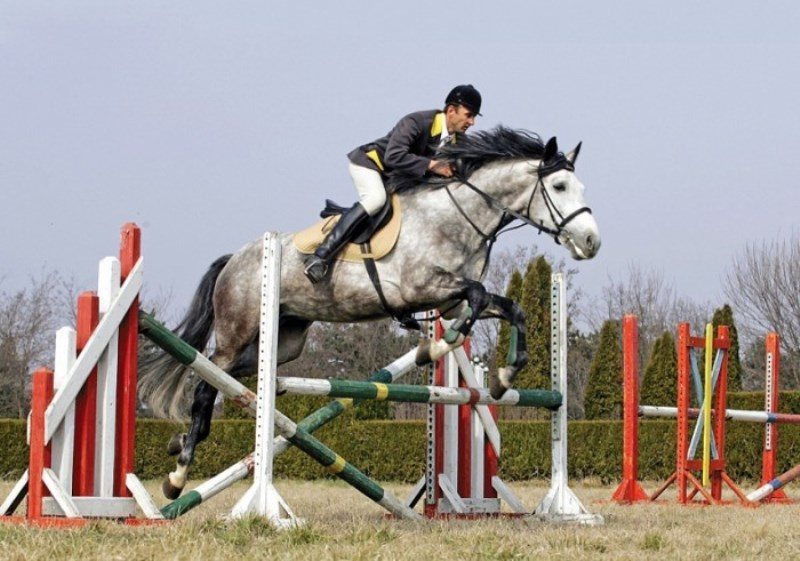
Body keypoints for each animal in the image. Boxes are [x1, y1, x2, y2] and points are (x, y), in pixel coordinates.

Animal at [141, 124, 600, 496]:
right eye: (560, 187)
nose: (591, 242)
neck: (457, 218)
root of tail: (235, 258)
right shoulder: (421, 288)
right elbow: (477, 295)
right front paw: (435, 349)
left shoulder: (448, 300)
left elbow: (506, 306)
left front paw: (504, 379)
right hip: (237, 332)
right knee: (205, 384)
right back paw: (178, 475)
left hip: (283, 341)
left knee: (232, 377)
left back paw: (180, 444)